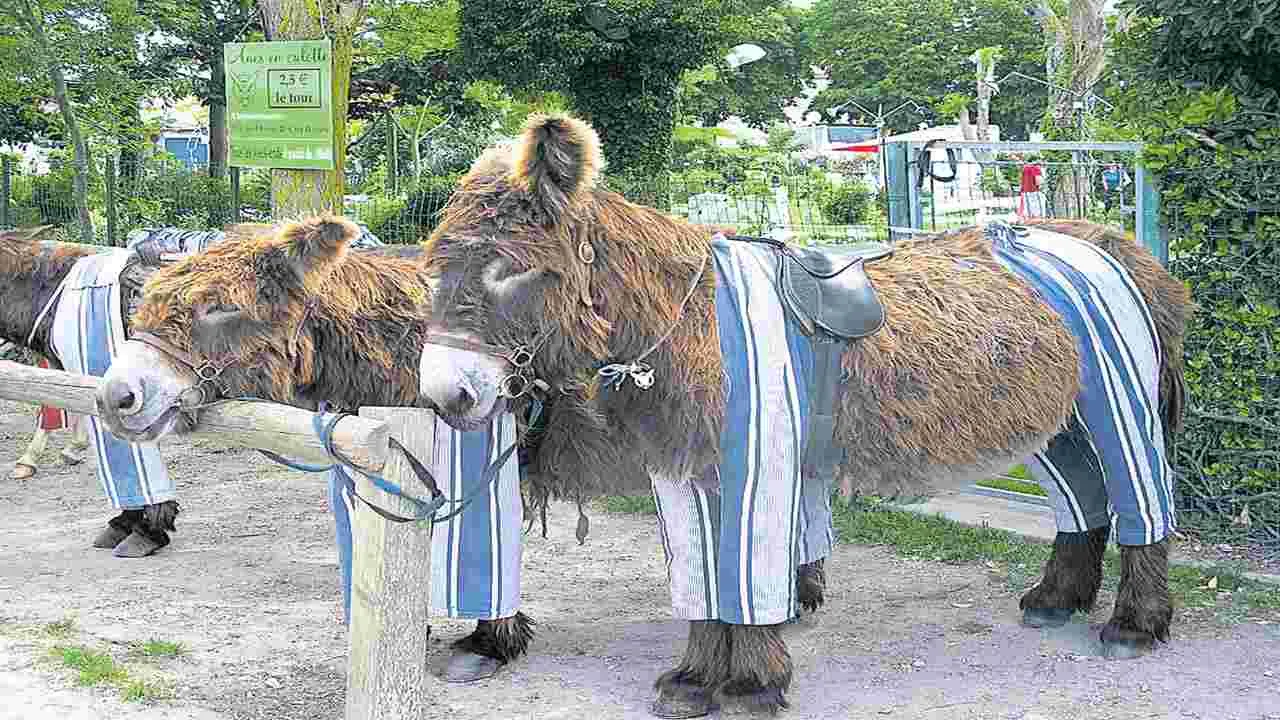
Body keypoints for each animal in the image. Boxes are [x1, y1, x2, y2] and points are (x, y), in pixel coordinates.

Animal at [413, 113, 1193, 716]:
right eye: (433, 267)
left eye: (513, 268)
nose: (446, 396)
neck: (692, 322)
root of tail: (1094, 240)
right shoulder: (682, 475)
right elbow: (700, 583)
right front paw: (695, 680)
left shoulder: (761, 467)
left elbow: (749, 579)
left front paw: (751, 685)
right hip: (1051, 420)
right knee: (1083, 501)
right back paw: (1058, 598)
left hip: (1116, 403)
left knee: (1142, 506)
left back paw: (1135, 624)